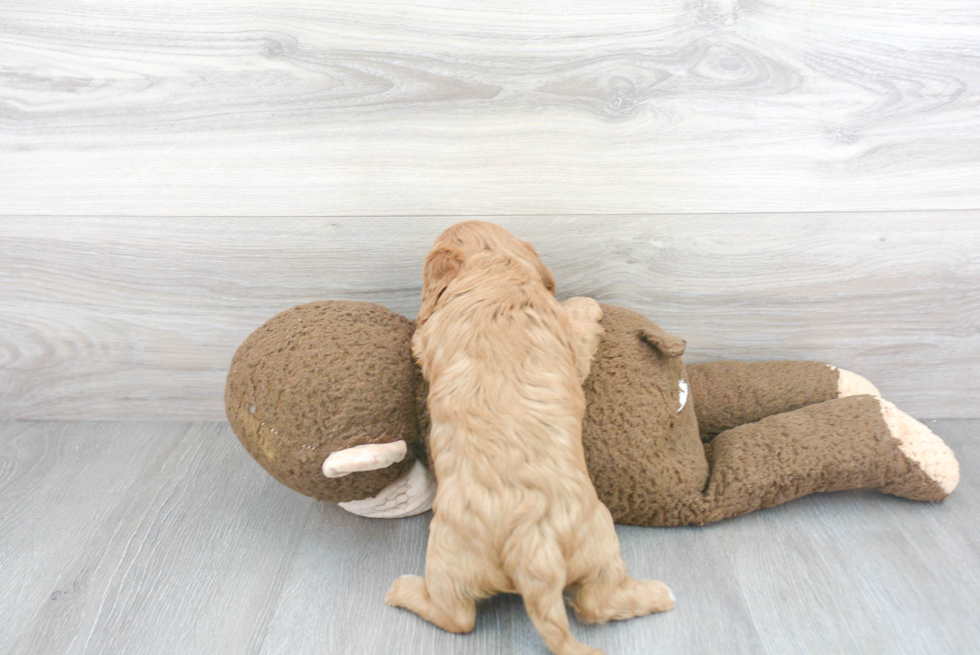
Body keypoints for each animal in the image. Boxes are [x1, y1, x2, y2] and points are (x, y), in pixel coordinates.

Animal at [382, 222, 672, 655]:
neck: (495, 273)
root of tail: (533, 551)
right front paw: (589, 304)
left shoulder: (432, 332)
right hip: (597, 540)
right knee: (593, 603)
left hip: (452, 556)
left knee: (459, 617)